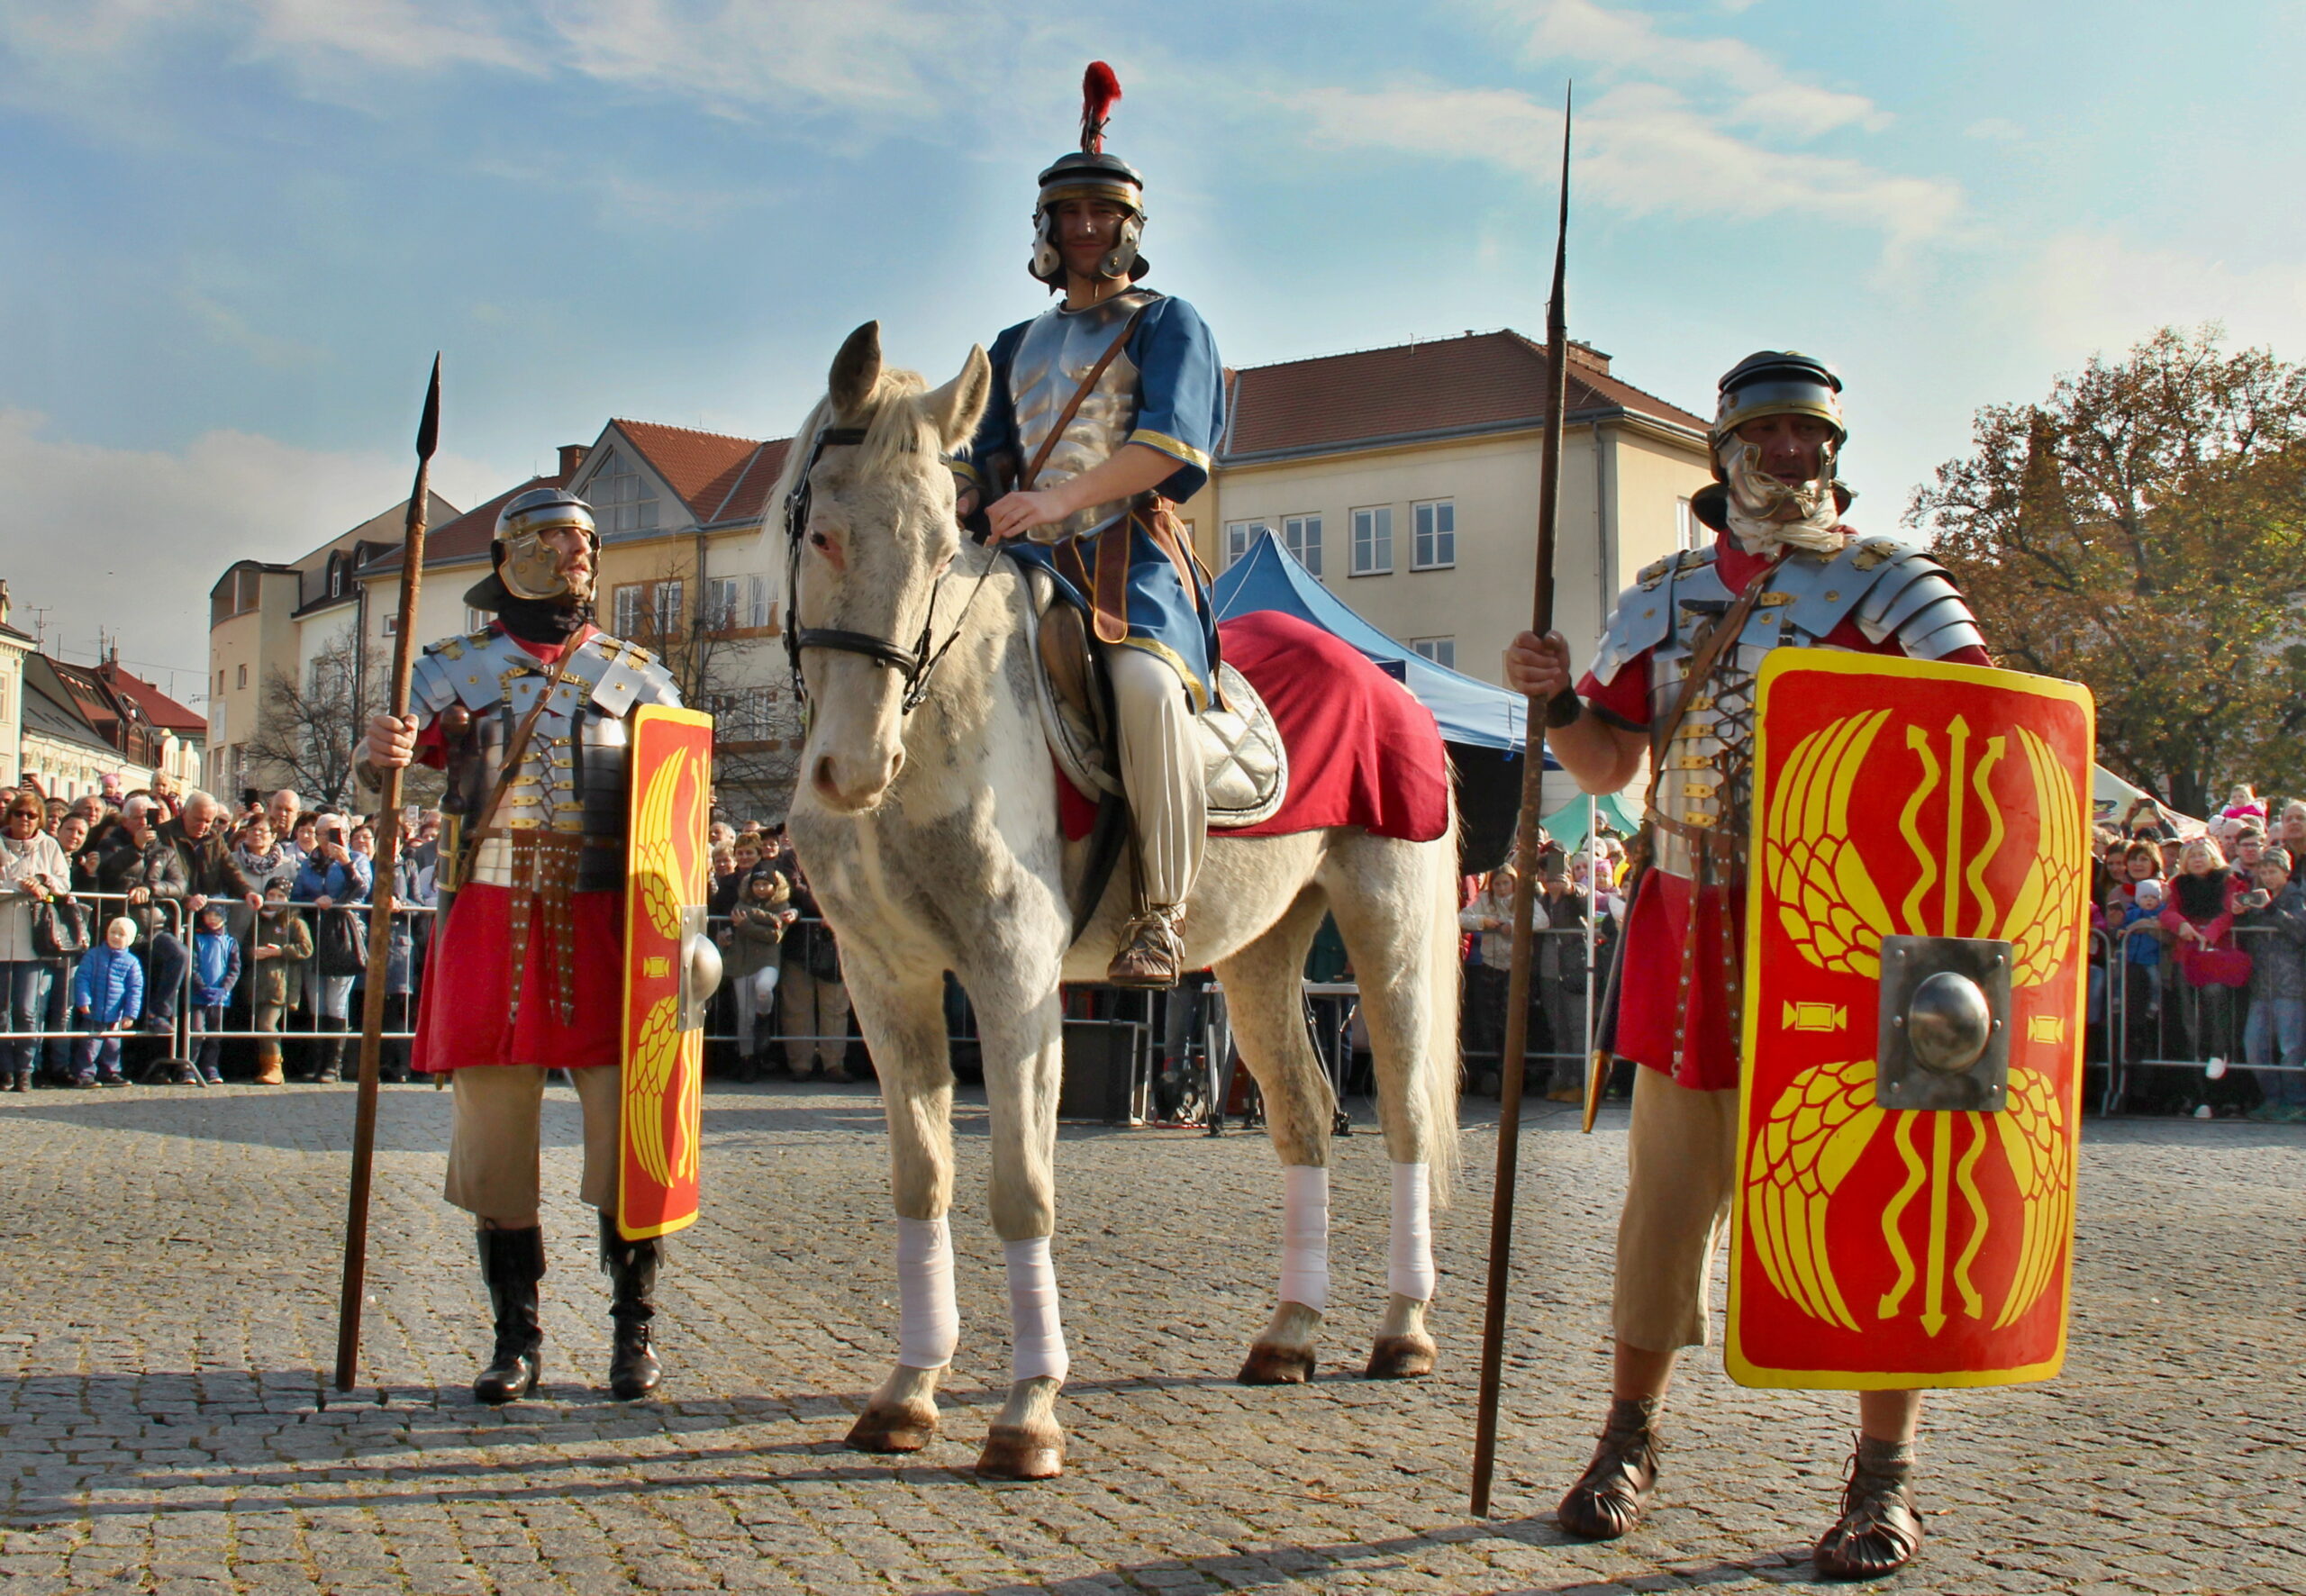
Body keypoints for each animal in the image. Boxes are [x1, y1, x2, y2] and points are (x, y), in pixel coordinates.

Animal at [775, 325, 1457, 1485]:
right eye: (823, 532)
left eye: (942, 551)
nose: (853, 769)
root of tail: (1388, 685)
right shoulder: (886, 979)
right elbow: (923, 1180)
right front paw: (907, 1392)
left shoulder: (1013, 978)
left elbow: (1021, 1186)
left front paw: (1028, 1410)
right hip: (1260, 954)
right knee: (1303, 1115)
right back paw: (1288, 1335)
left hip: (1389, 928)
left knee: (1404, 1115)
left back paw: (1401, 1331)